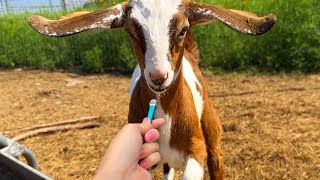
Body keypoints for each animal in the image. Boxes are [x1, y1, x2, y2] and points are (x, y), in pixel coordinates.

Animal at [28, 0, 276, 179]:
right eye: (131, 32)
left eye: (183, 30)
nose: (158, 77)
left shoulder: (195, 146)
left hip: (210, 122)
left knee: (216, 157)